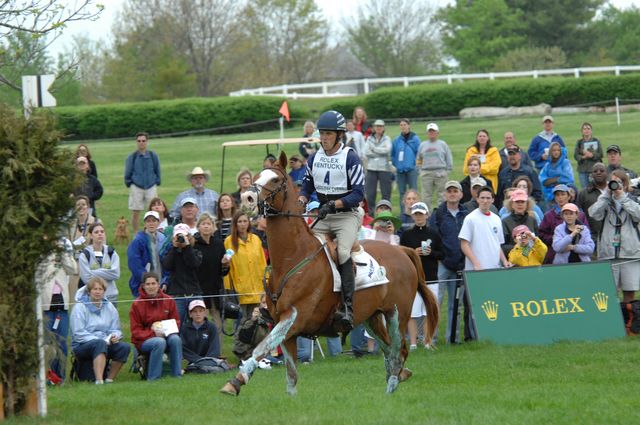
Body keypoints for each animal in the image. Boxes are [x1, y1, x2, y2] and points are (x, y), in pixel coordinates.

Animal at [221, 152, 440, 394]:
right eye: (257, 177)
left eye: (275, 180)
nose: (247, 198)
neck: (293, 257)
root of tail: (401, 250)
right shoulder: (285, 329)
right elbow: (291, 377)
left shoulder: (295, 318)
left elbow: (260, 348)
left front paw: (236, 381)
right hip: (372, 318)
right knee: (390, 355)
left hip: (396, 315)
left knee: (398, 354)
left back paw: (390, 391)